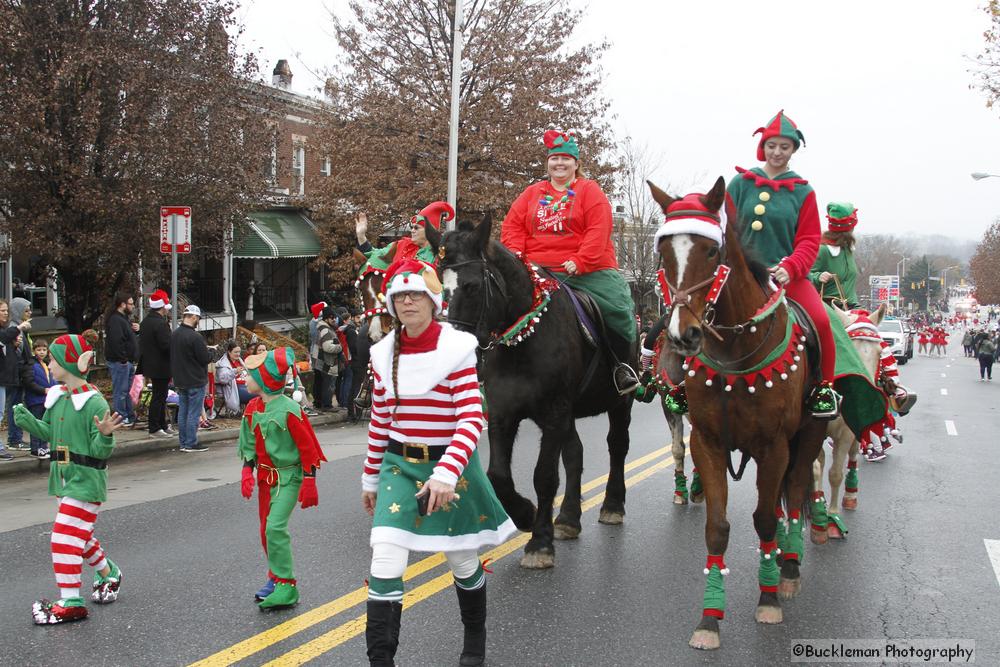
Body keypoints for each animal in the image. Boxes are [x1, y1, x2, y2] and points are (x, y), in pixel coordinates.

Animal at [424, 218, 632, 568]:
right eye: (440, 286)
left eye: (472, 286)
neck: (525, 337)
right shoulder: (502, 414)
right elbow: (497, 476)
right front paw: (525, 514)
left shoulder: (554, 413)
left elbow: (544, 476)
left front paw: (540, 543)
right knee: (574, 455)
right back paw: (568, 518)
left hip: (619, 403)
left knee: (617, 446)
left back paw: (612, 506)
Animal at [652, 175, 824, 648]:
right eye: (662, 251)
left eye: (712, 251)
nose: (684, 335)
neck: (735, 351)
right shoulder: (707, 443)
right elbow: (718, 528)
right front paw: (709, 617)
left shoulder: (774, 447)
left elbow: (764, 518)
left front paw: (768, 599)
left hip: (811, 434)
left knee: (796, 491)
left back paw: (789, 566)